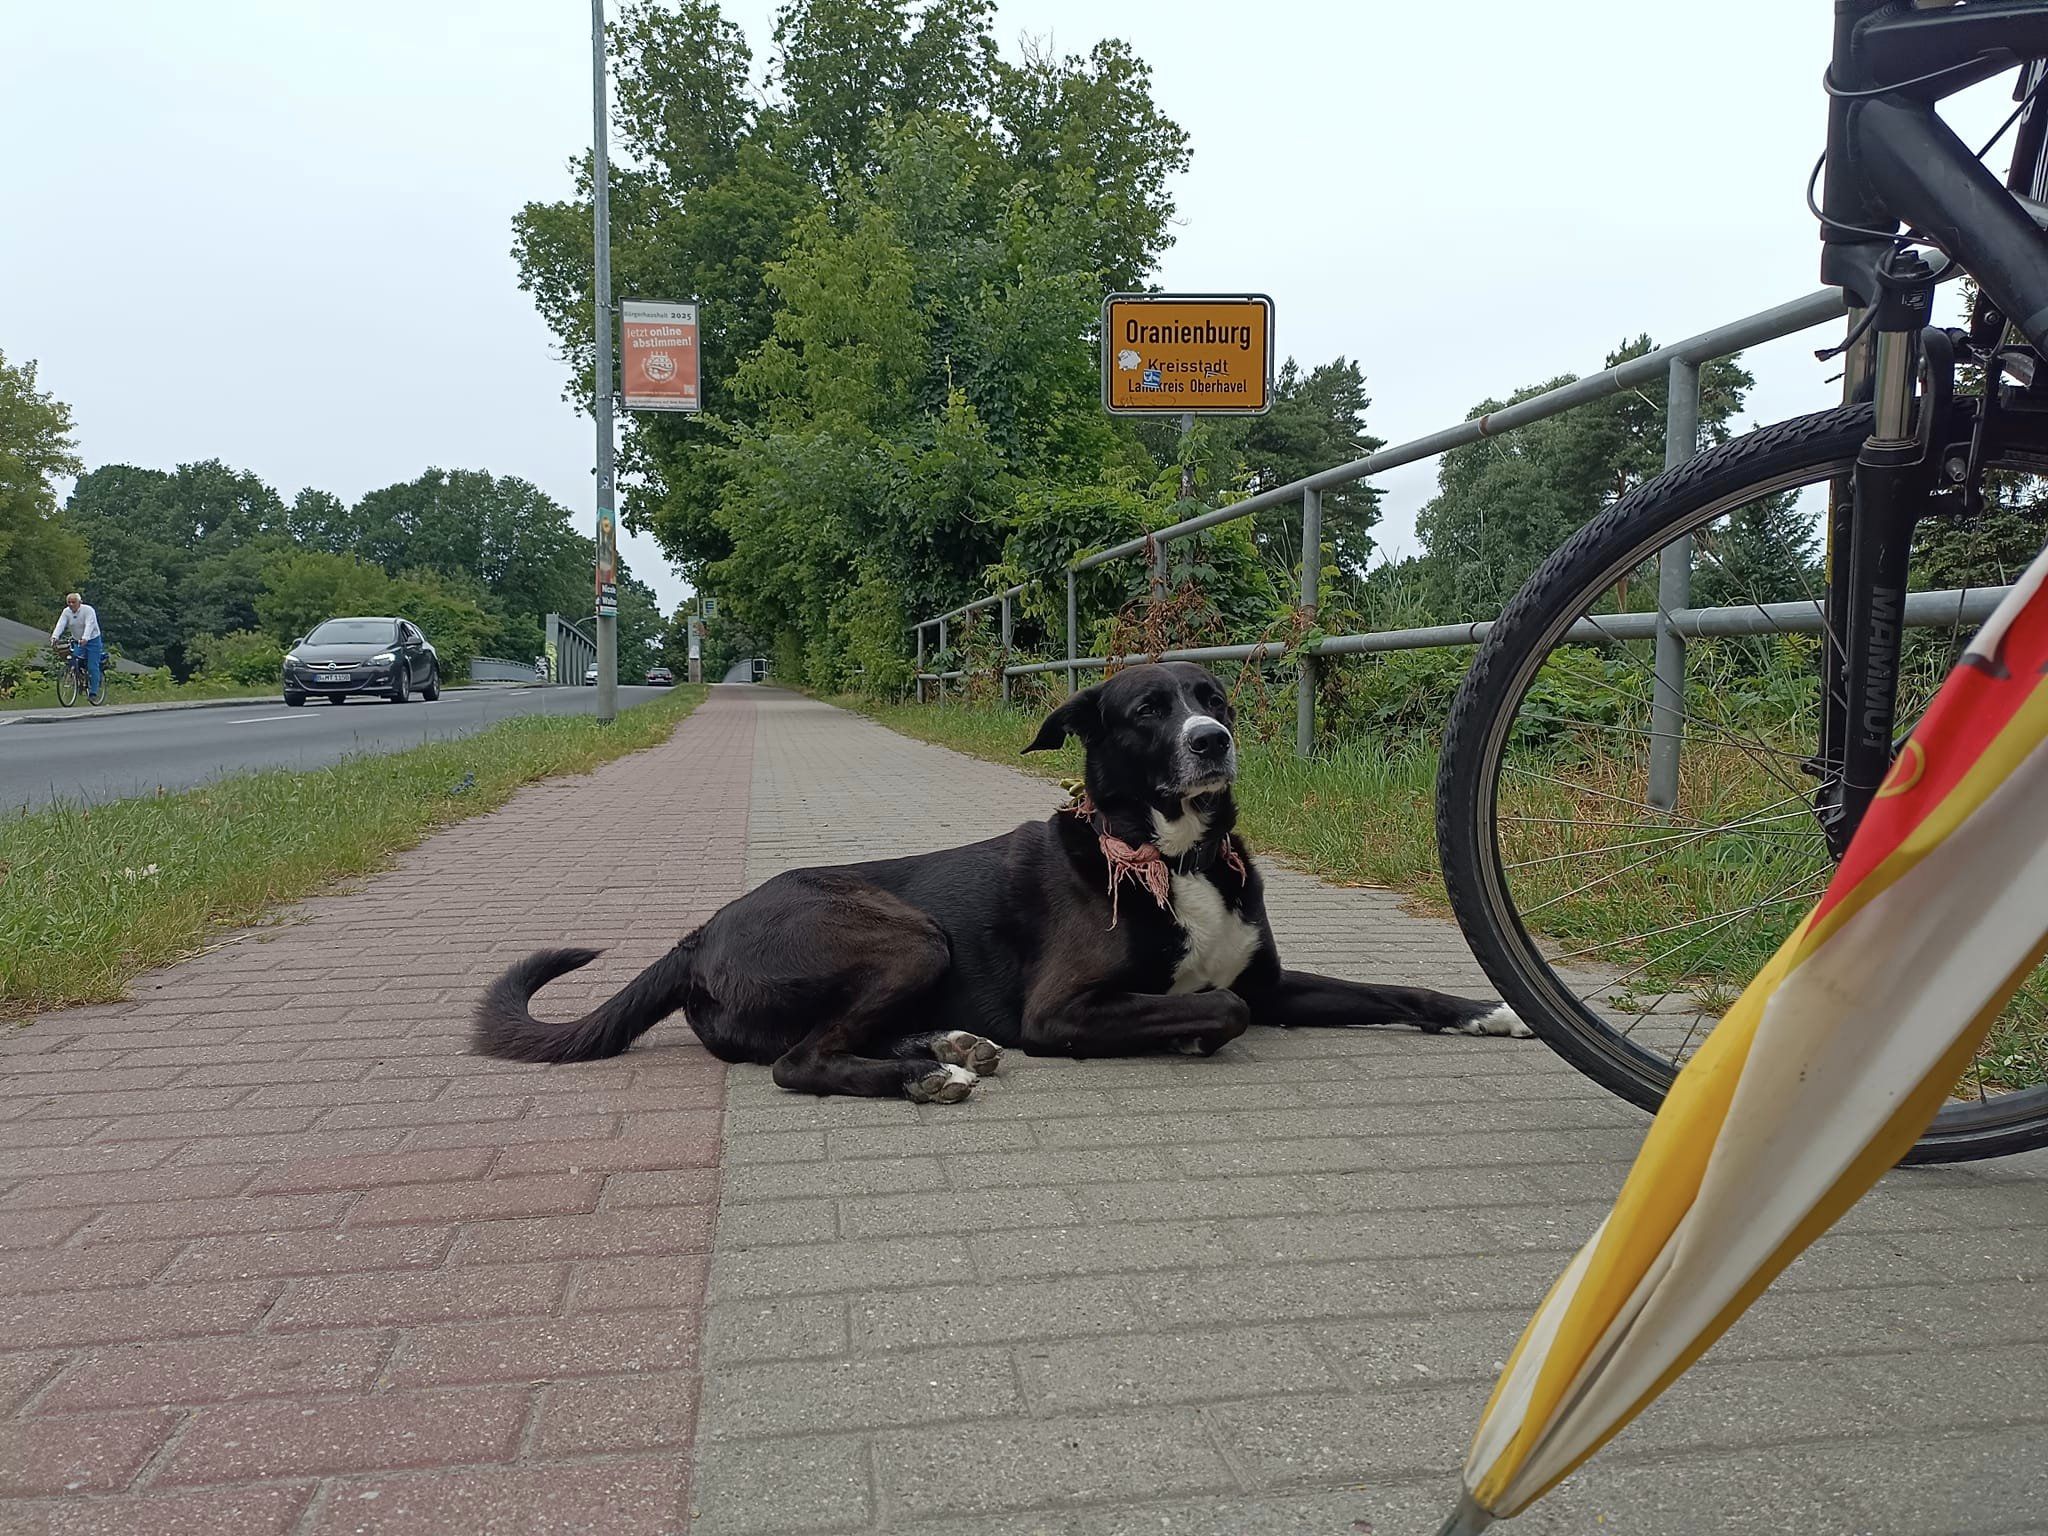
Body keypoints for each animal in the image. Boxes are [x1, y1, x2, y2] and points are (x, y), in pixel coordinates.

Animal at [471, 659, 1531, 1097]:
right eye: (1148, 710)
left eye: (1214, 696)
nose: (1213, 740)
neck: (1173, 856)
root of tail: (698, 932)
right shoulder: (1062, 1012)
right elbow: (1216, 1010)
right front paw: (1184, 1035)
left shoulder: (1271, 983)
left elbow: (1389, 987)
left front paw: (1485, 1009)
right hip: (906, 931)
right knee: (798, 1062)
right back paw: (928, 1073)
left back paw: (946, 1045)